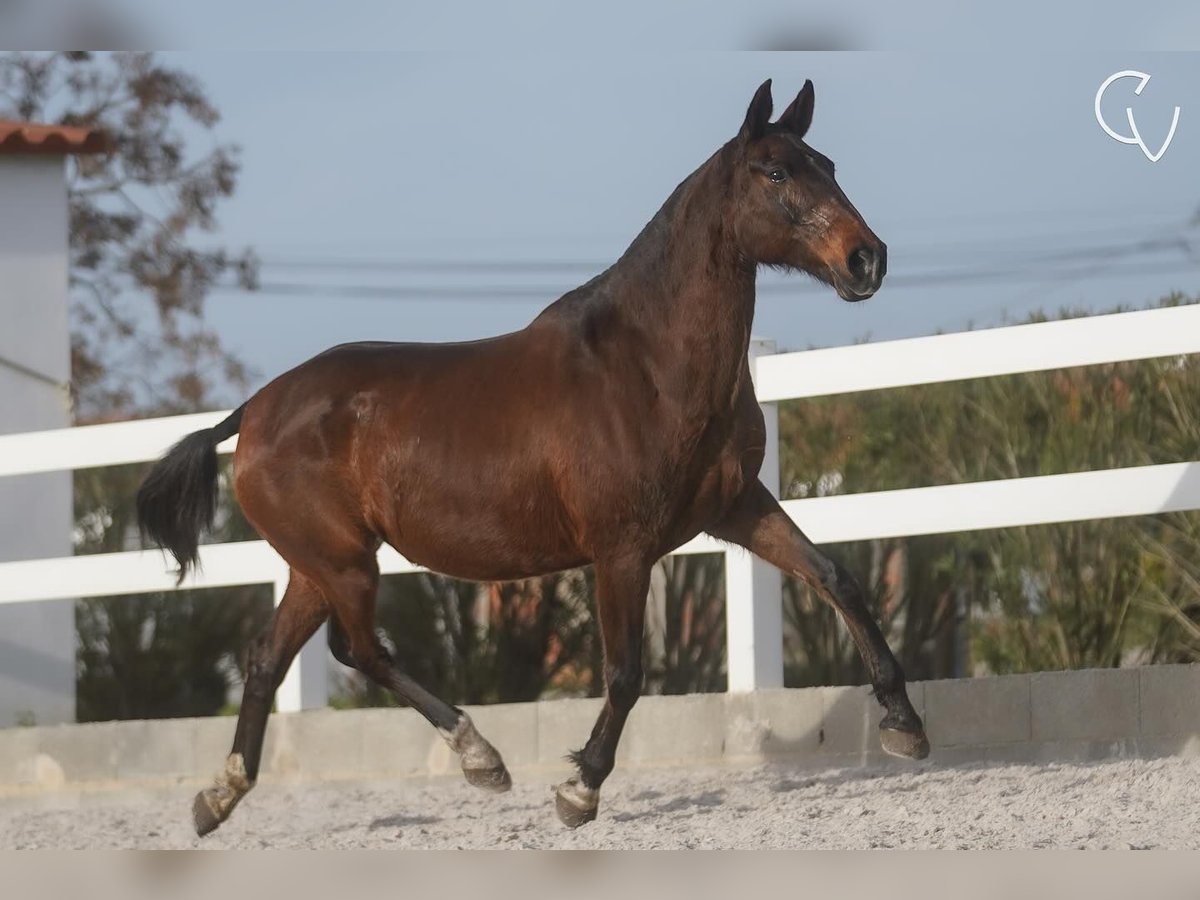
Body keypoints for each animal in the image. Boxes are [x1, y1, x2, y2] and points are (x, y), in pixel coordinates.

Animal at [138, 79, 926, 840]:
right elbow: (625, 672)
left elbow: (836, 577)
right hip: (343, 563)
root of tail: (254, 411)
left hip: (315, 566)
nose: (868, 259)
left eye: (828, 166)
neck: (647, 366)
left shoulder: (736, 507)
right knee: (358, 650)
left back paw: (219, 796)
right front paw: (580, 789)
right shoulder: (621, 549)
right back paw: (480, 757)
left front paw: (906, 725)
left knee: (269, 659)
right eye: (775, 171)